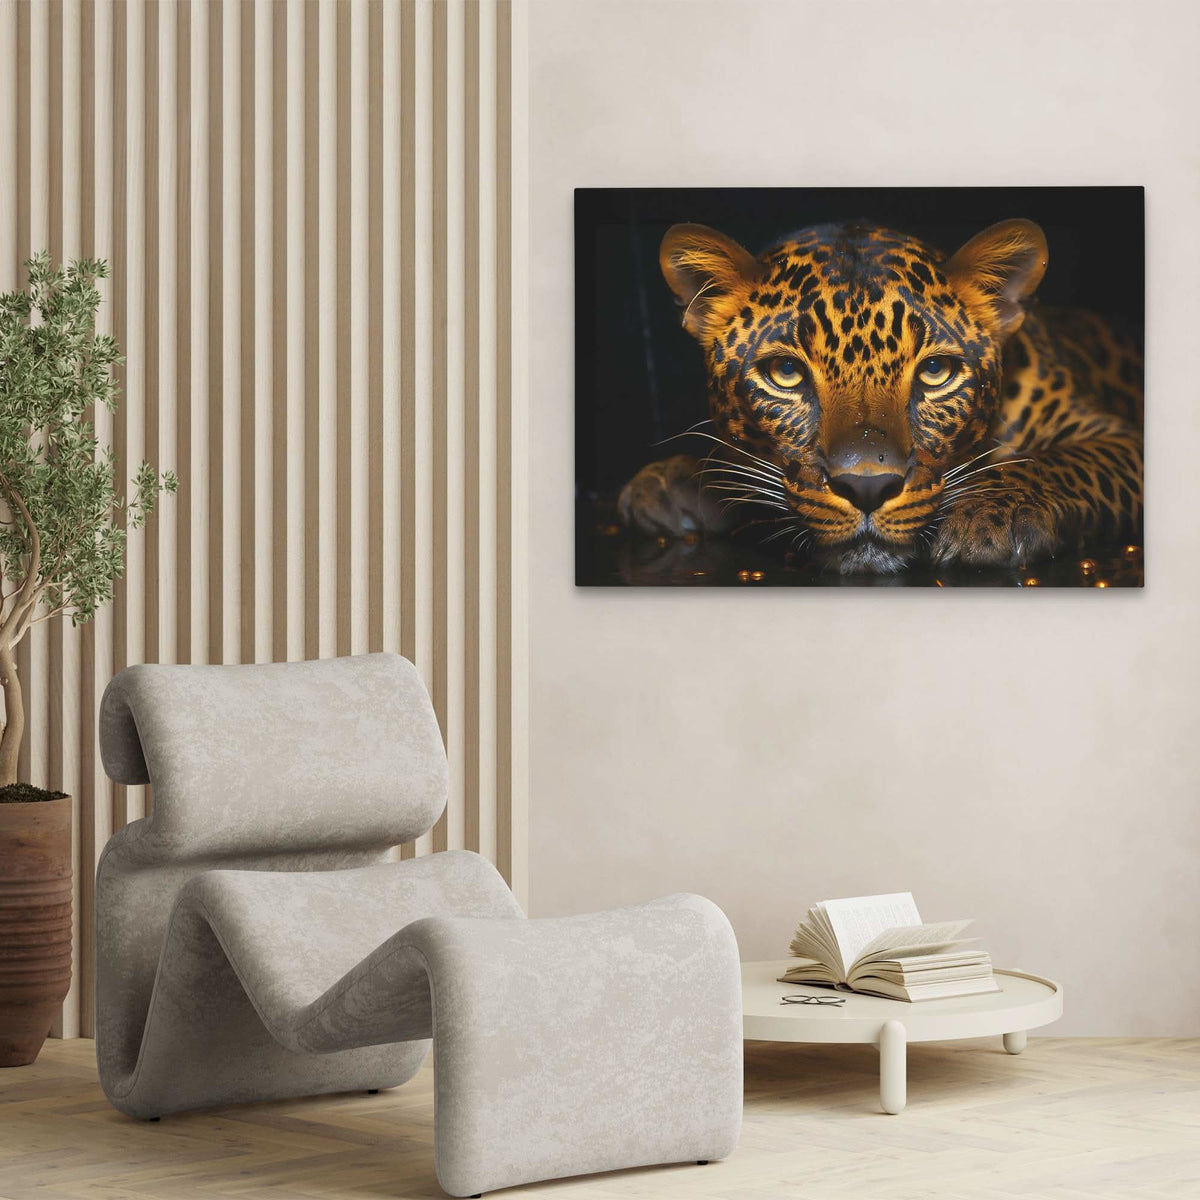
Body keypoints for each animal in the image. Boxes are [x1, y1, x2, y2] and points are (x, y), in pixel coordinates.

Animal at [618, 218, 1143, 575]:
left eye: (935, 372)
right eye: (786, 373)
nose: (867, 488)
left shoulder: (1120, 436)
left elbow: (1066, 461)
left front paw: (993, 511)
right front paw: (673, 480)